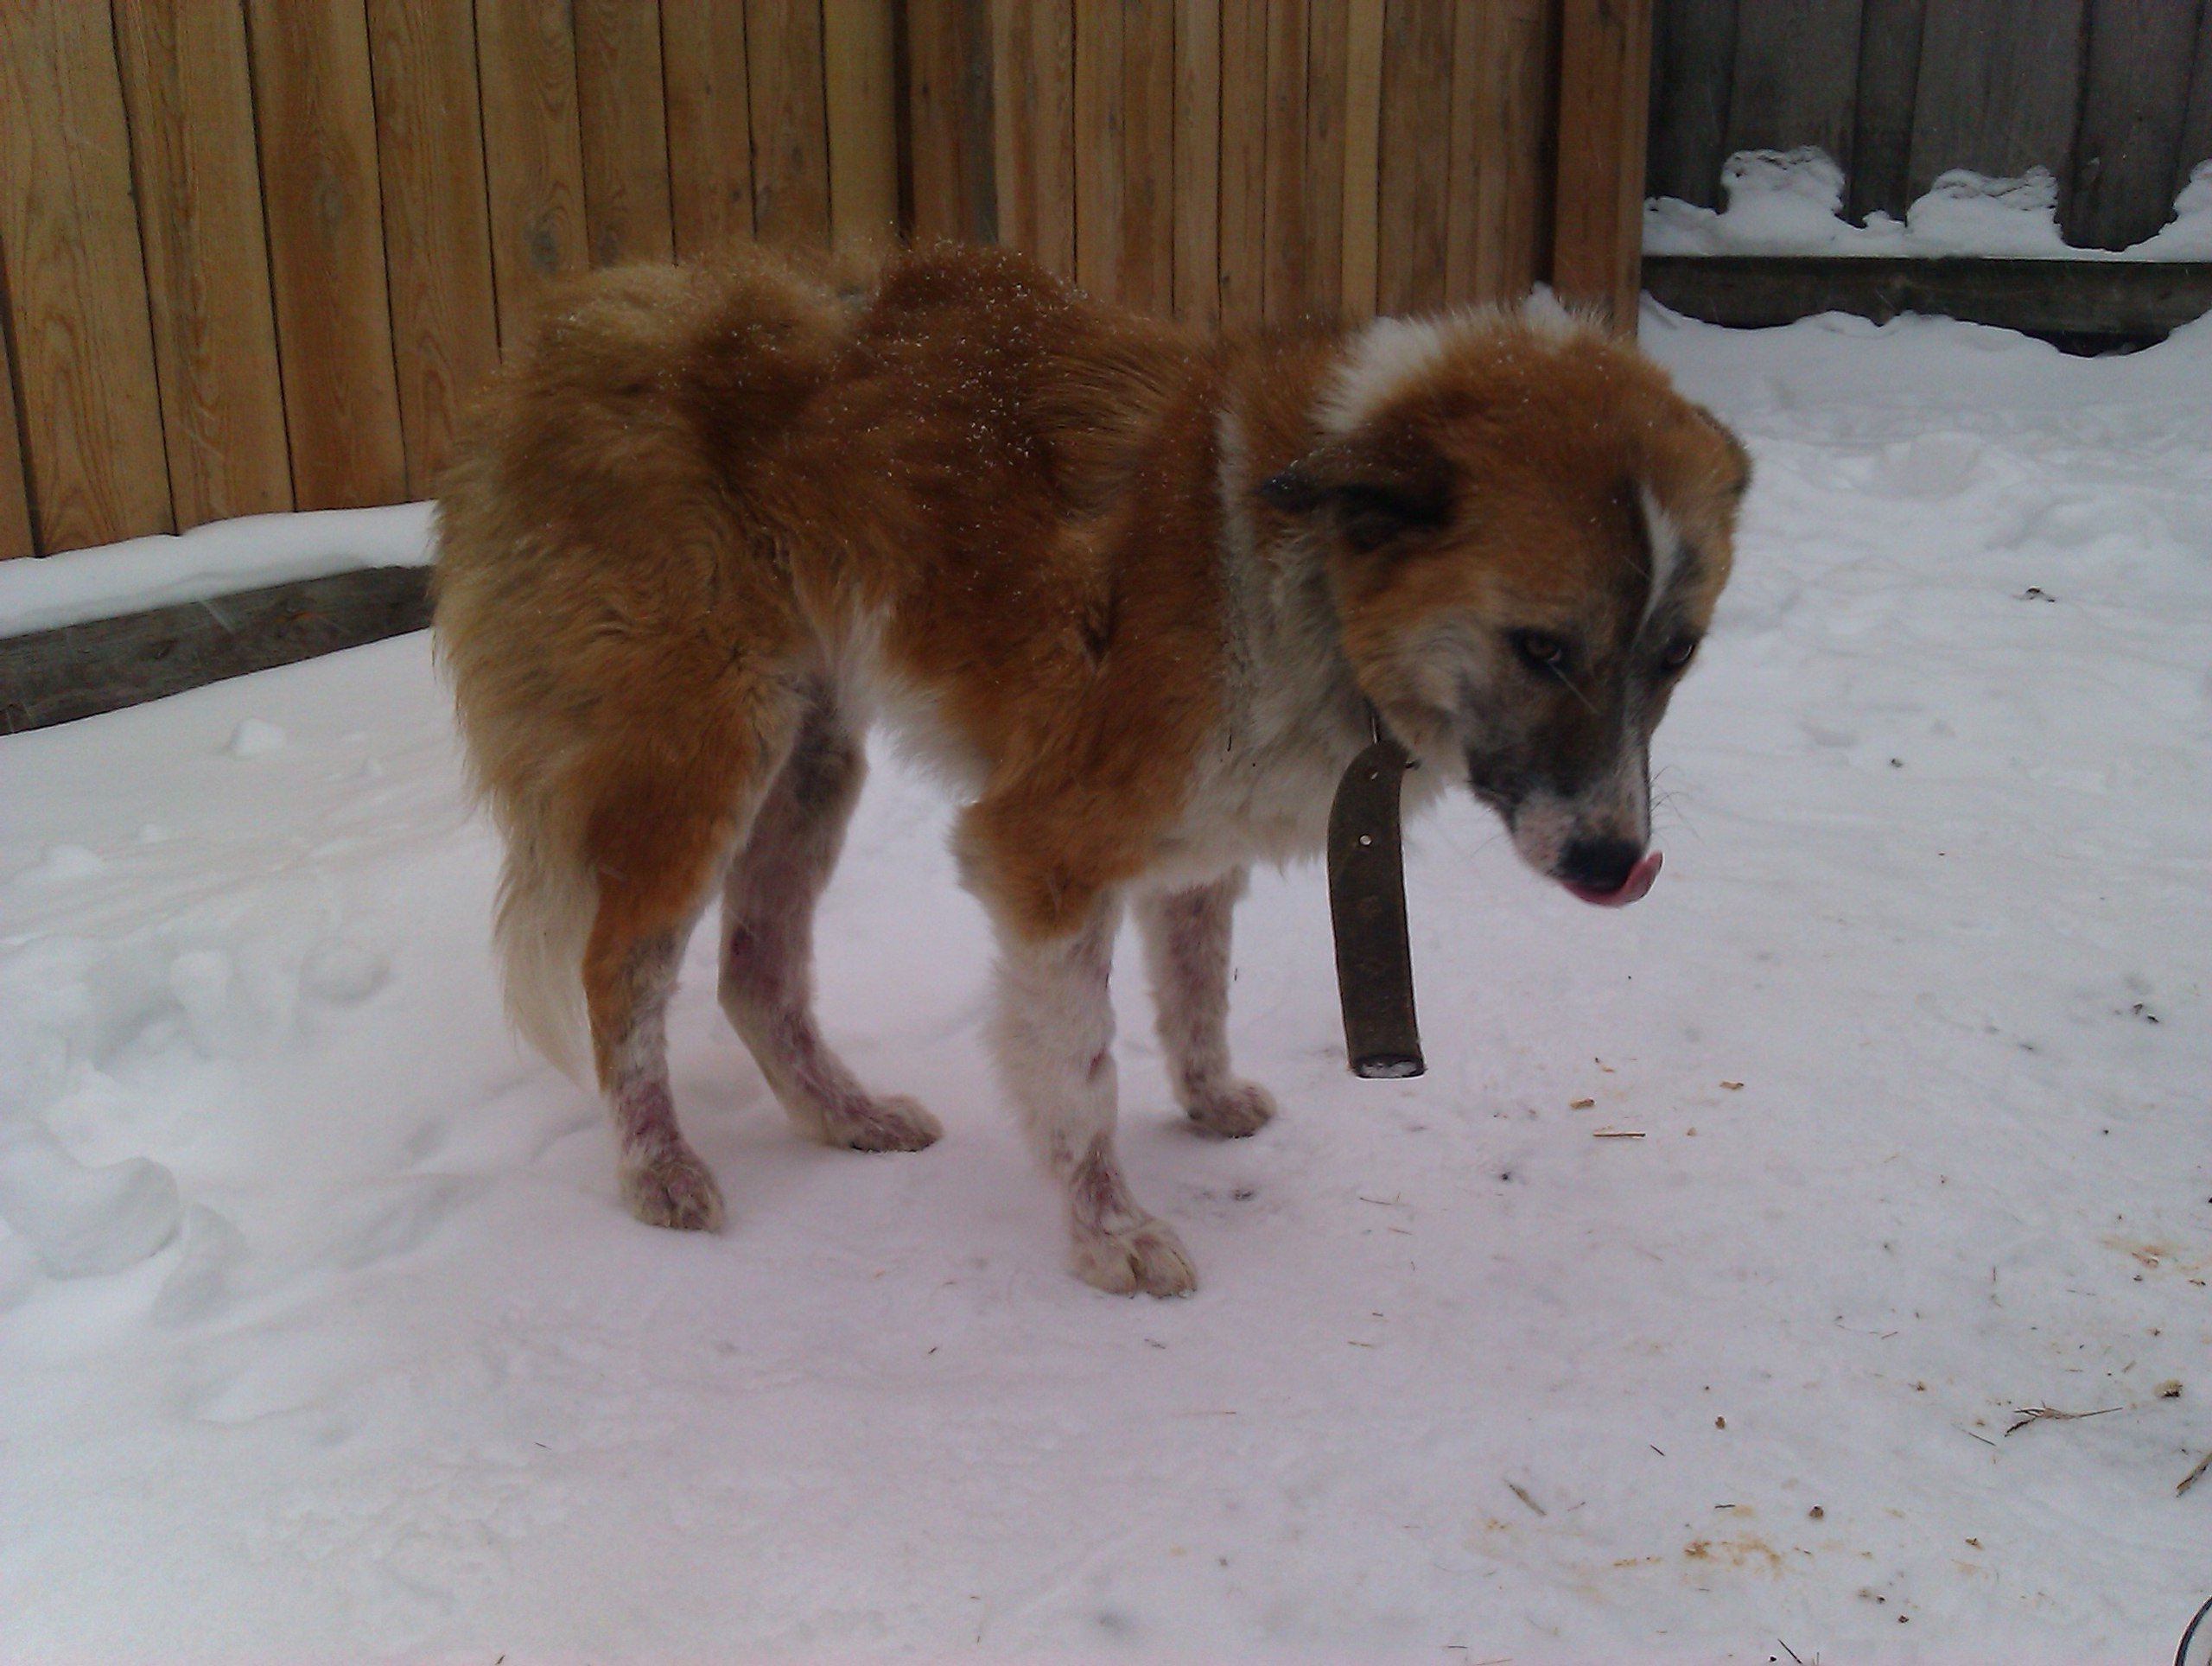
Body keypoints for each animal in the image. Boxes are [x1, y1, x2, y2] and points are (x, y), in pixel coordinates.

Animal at [427, 239, 1743, 1292]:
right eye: (1543, 647)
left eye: (1677, 652)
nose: (1616, 863)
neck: (1299, 573)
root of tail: (576, 326)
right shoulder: (1039, 852)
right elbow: (1084, 1070)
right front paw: (1109, 1236)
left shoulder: (1198, 842)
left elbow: (1195, 993)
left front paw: (1208, 1105)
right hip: (708, 751)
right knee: (621, 973)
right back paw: (657, 1166)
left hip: (813, 753)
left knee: (757, 973)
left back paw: (842, 1114)